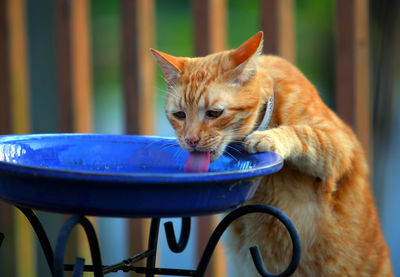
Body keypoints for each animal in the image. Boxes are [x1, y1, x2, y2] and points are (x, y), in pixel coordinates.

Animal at [152, 32, 392, 276]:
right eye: (179, 115)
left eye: (214, 113)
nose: (191, 140)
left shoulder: (341, 145)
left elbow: (302, 132)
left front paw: (268, 138)